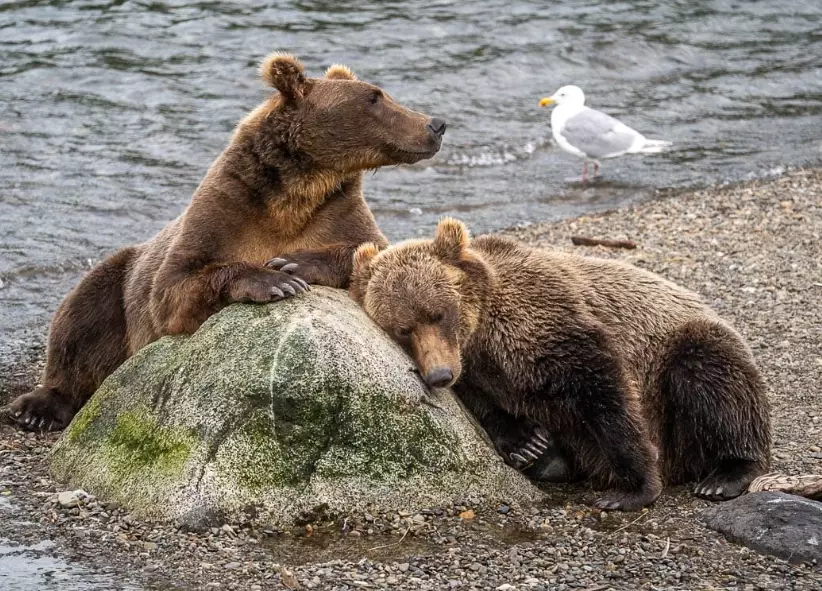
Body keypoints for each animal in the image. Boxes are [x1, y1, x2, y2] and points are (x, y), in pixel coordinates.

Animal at [5, 52, 446, 432]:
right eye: (374, 97)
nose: (436, 124)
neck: (299, 189)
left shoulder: (337, 210)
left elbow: (376, 256)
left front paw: (294, 263)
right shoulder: (227, 207)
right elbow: (175, 285)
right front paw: (275, 280)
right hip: (122, 276)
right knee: (83, 313)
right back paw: (37, 408)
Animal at [349, 218, 771, 511]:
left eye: (438, 313)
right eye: (403, 329)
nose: (439, 375)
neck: (482, 334)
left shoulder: (545, 324)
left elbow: (602, 388)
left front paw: (632, 489)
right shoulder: (479, 371)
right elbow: (486, 405)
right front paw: (527, 444)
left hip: (681, 364)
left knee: (711, 376)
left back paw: (726, 474)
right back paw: (550, 461)